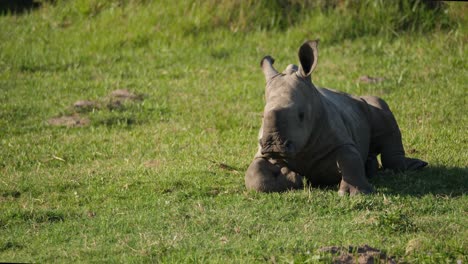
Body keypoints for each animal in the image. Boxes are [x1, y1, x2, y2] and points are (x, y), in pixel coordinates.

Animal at [245, 40, 428, 195]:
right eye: (262, 116)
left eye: (301, 115)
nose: (273, 147)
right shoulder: (261, 152)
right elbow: (254, 174)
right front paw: (293, 177)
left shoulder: (341, 139)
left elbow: (349, 156)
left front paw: (354, 194)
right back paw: (370, 167)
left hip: (364, 103)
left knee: (379, 106)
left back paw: (416, 165)